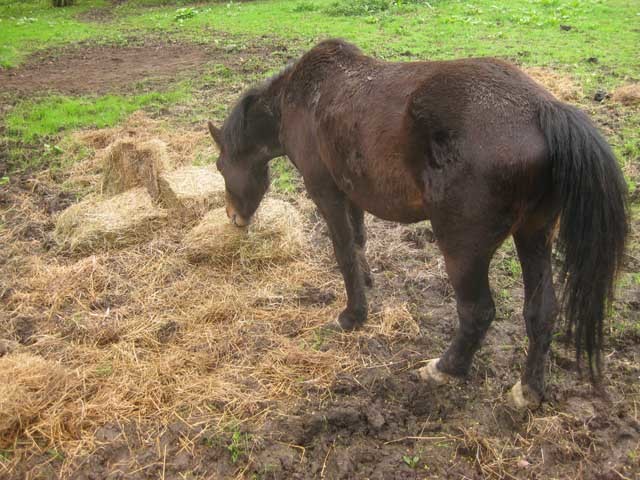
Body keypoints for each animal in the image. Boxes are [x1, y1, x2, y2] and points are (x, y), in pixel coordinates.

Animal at [207, 39, 628, 408]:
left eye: (220, 165)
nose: (233, 218)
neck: (302, 99)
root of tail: (543, 109)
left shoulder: (326, 192)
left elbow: (344, 252)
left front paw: (352, 316)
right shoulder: (351, 191)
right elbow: (358, 241)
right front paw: (367, 283)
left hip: (463, 250)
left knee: (478, 312)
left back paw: (444, 369)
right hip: (534, 234)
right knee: (541, 311)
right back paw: (528, 390)